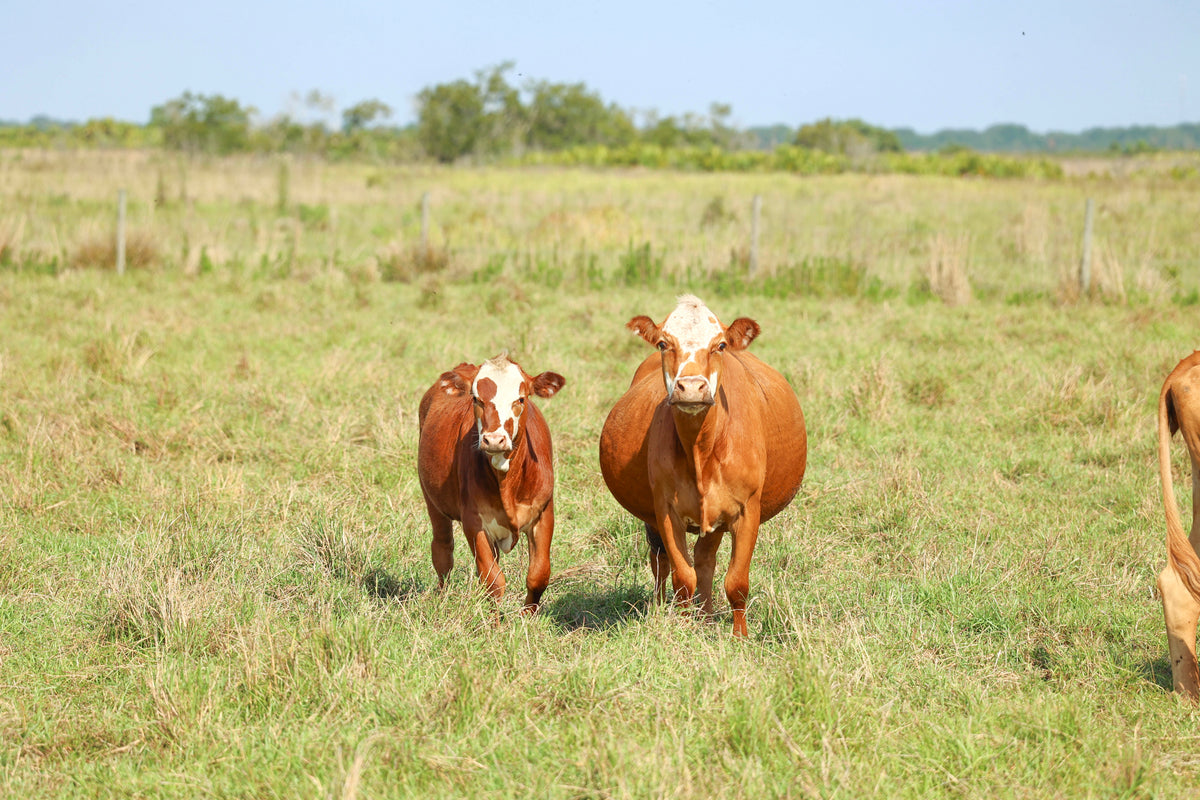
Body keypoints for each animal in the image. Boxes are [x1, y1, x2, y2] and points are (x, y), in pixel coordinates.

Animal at [417, 354, 565, 613]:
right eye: (477, 398)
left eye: (521, 399)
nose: (494, 439)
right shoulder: (474, 522)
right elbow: (493, 580)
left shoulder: (544, 514)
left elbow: (538, 575)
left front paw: (527, 618)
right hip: (432, 501)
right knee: (443, 552)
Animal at [598, 295, 807, 637]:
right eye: (663, 343)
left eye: (720, 345)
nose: (692, 387)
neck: (701, 450)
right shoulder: (665, 511)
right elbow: (683, 577)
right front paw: (683, 630)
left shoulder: (747, 510)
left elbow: (736, 582)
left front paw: (739, 637)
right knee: (661, 560)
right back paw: (662, 609)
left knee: (705, 559)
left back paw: (707, 616)